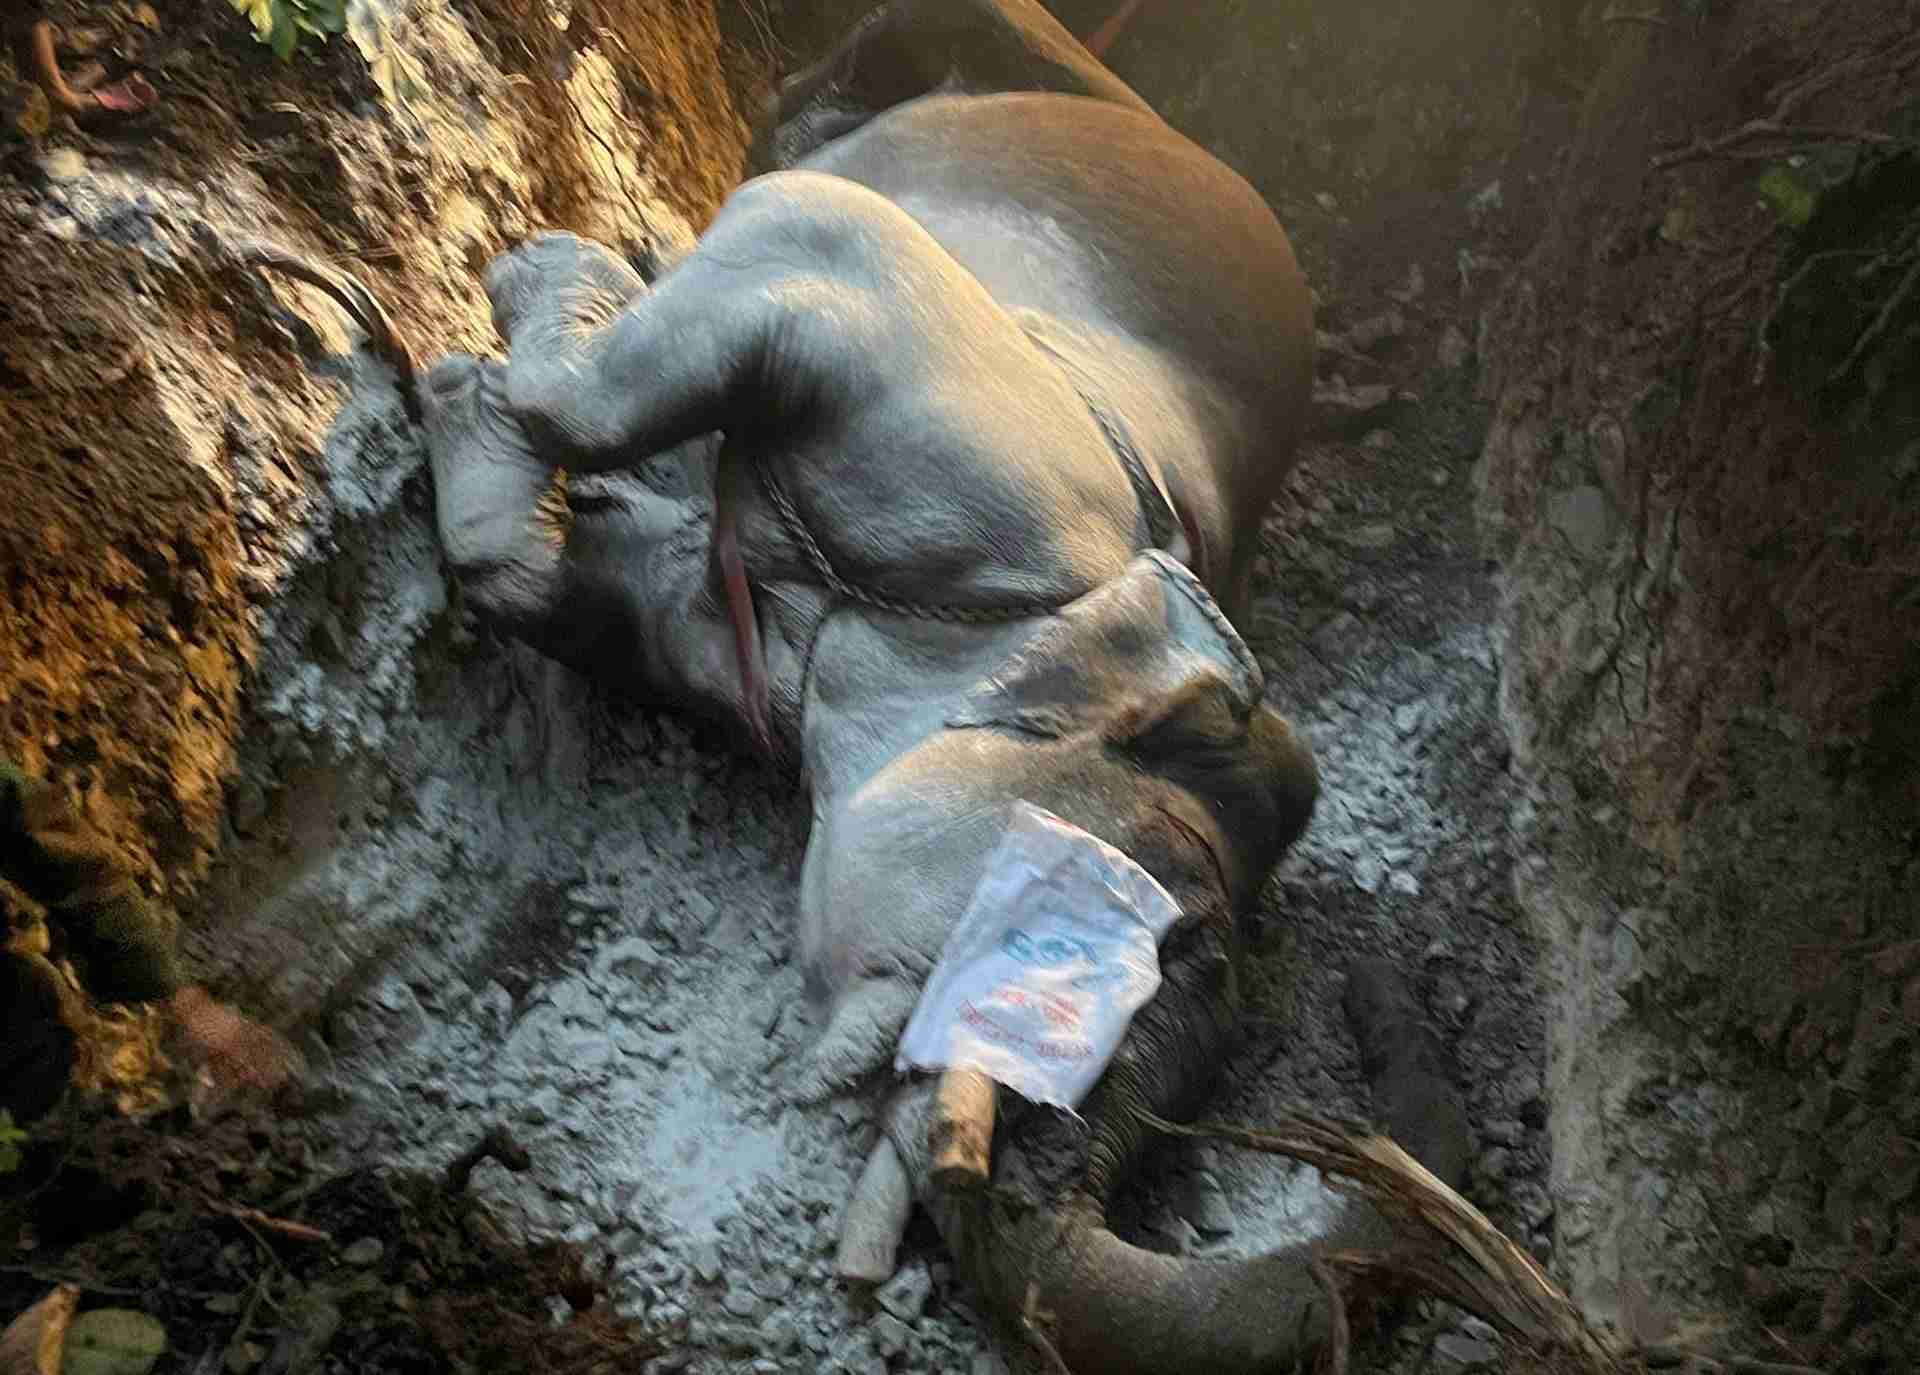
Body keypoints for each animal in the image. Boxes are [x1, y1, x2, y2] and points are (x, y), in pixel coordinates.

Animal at [284, 0, 1473, 1368]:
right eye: (1157, 916)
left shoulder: (728, 632)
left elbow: (554, 584)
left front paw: (473, 395)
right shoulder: (974, 426)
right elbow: (797, 231)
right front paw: (555, 267)